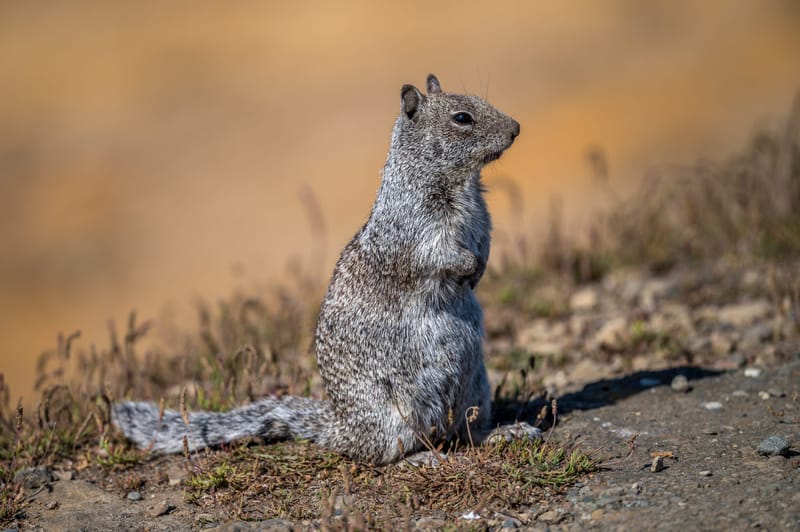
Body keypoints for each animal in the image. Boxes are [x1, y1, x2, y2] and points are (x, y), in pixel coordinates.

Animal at [112, 74, 541, 465]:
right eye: (462, 117)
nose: (517, 128)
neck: (462, 183)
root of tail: (338, 428)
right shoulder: (414, 228)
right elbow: (437, 254)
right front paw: (468, 266)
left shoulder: (482, 218)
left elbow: (484, 240)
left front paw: (480, 268)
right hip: (393, 417)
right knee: (381, 454)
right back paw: (421, 458)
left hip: (477, 389)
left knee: (467, 432)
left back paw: (507, 432)